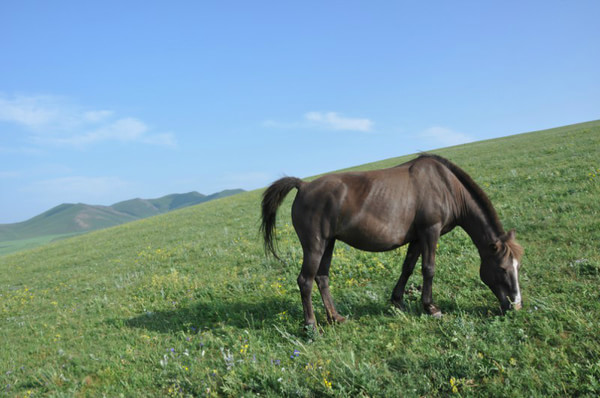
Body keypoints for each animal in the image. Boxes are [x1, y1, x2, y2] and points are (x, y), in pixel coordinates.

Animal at [260, 154, 524, 328]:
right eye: (502, 269)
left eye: (516, 267)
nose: (516, 305)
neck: (446, 186)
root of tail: (303, 186)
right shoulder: (430, 231)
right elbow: (428, 268)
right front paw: (431, 307)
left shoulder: (418, 237)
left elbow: (408, 267)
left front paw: (398, 301)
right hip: (314, 245)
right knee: (305, 281)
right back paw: (311, 326)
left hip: (329, 243)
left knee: (321, 277)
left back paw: (335, 318)